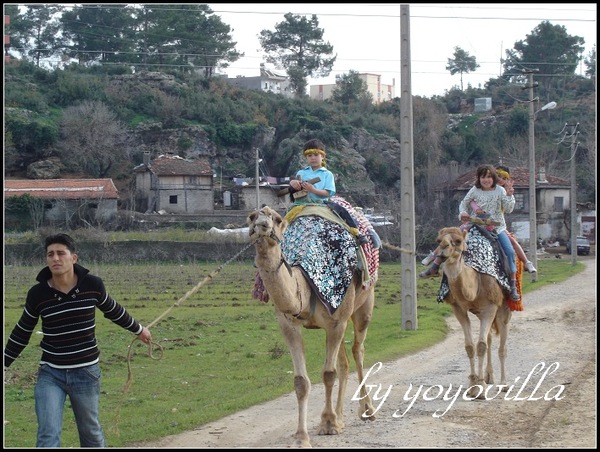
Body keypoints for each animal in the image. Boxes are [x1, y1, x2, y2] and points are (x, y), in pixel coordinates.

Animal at [247, 207, 378, 446]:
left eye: (277, 219)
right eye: (251, 217)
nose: (261, 225)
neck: (305, 286)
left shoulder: (336, 321)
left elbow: (328, 374)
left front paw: (328, 425)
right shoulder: (289, 324)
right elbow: (301, 381)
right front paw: (302, 436)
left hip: (364, 302)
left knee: (358, 350)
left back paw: (367, 411)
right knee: (344, 362)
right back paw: (341, 416)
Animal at [434, 228, 512, 398]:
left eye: (458, 241)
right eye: (438, 240)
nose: (442, 249)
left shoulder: (491, 306)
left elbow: (481, 345)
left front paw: (480, 388)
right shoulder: (458, 309)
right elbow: (470, 346)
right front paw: (472, 386)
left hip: (503, 306)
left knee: (502, 343)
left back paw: (504, 384)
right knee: (489, 338)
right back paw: (489, 376)